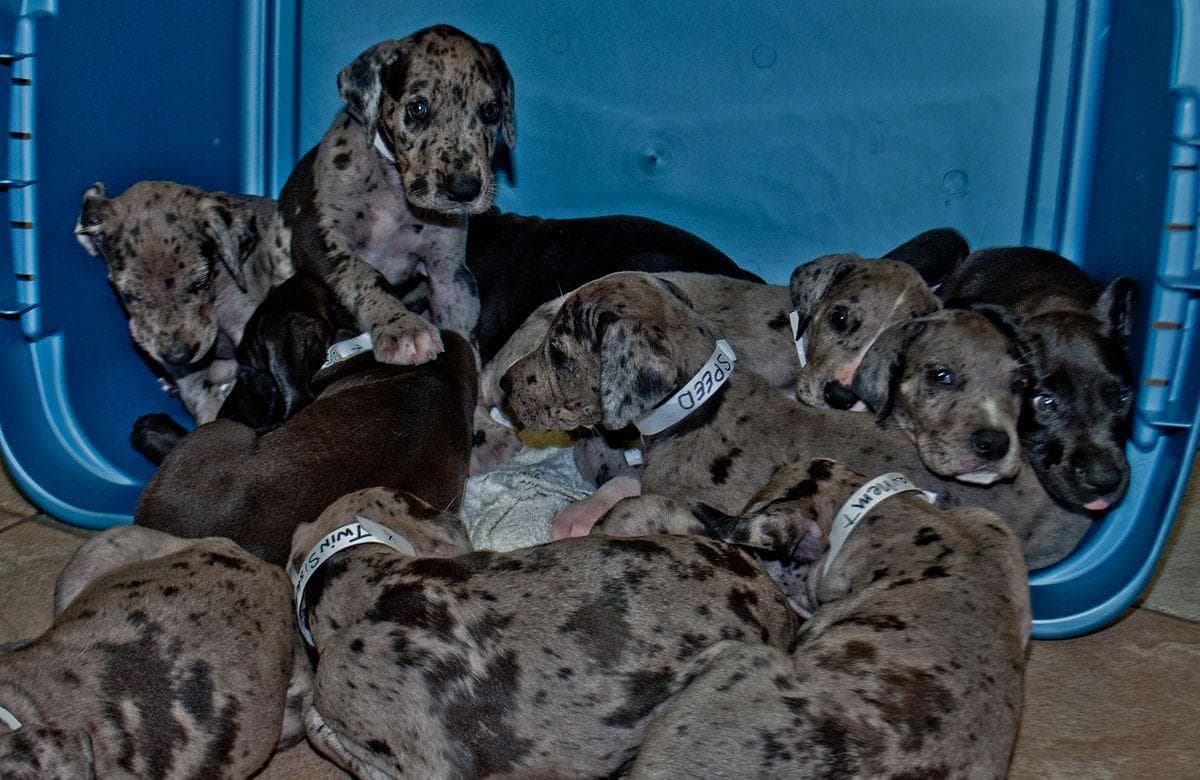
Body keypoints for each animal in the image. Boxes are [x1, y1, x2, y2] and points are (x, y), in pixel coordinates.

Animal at [279, 25, 514, 366]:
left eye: (491, 110)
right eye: (418, 108)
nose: (464, 189)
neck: (394, 188)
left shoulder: (450, 274)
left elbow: (464, 332)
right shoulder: (317, 237)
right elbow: (365, 275)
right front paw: (401, 326)